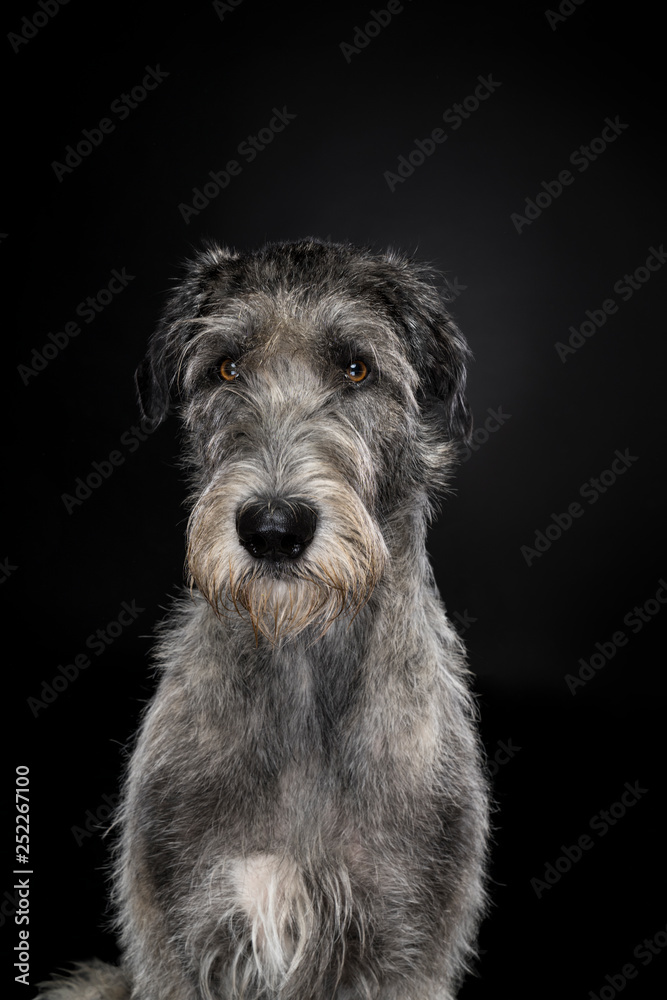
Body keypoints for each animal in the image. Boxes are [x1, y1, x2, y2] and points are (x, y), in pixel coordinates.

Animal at [40, 240, 490, 1000]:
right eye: (226, 367)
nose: (274, 529)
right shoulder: (174, 940)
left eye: (356, 367)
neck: (300, 665)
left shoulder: (407, 947)